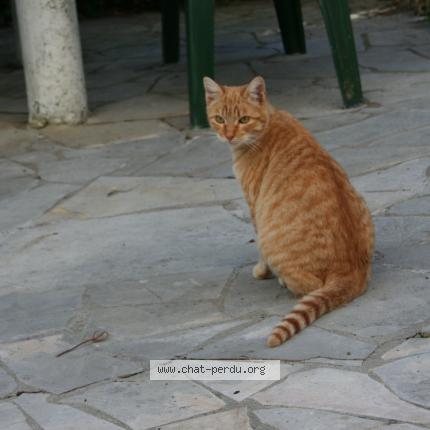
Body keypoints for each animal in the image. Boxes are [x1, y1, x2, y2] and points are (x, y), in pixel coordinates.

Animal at [203, 75, 374, 348]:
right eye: (219, 118)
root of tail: (351, 271)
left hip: (274, 241)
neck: (268, 123)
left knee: (310, 286)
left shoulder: (255, 206)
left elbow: (259, 248)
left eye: (243, 119)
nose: (228, 135)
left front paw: (261, 271)